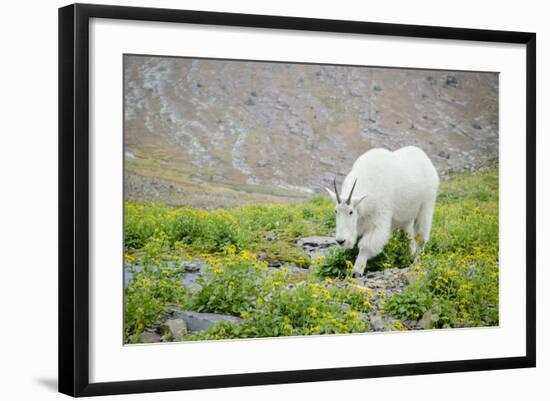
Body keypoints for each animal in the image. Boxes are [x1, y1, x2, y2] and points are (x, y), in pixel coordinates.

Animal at [328, 145, 440, 276]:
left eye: (351, 212)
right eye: (336, 211)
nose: (341, 241)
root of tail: (425, 158)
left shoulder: (379, 218)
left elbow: (366, 245)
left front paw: (356, 271)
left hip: (427, 204)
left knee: (421, 236)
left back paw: (417, 262)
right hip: (406, 217)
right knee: (408, 237)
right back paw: (409, 256)